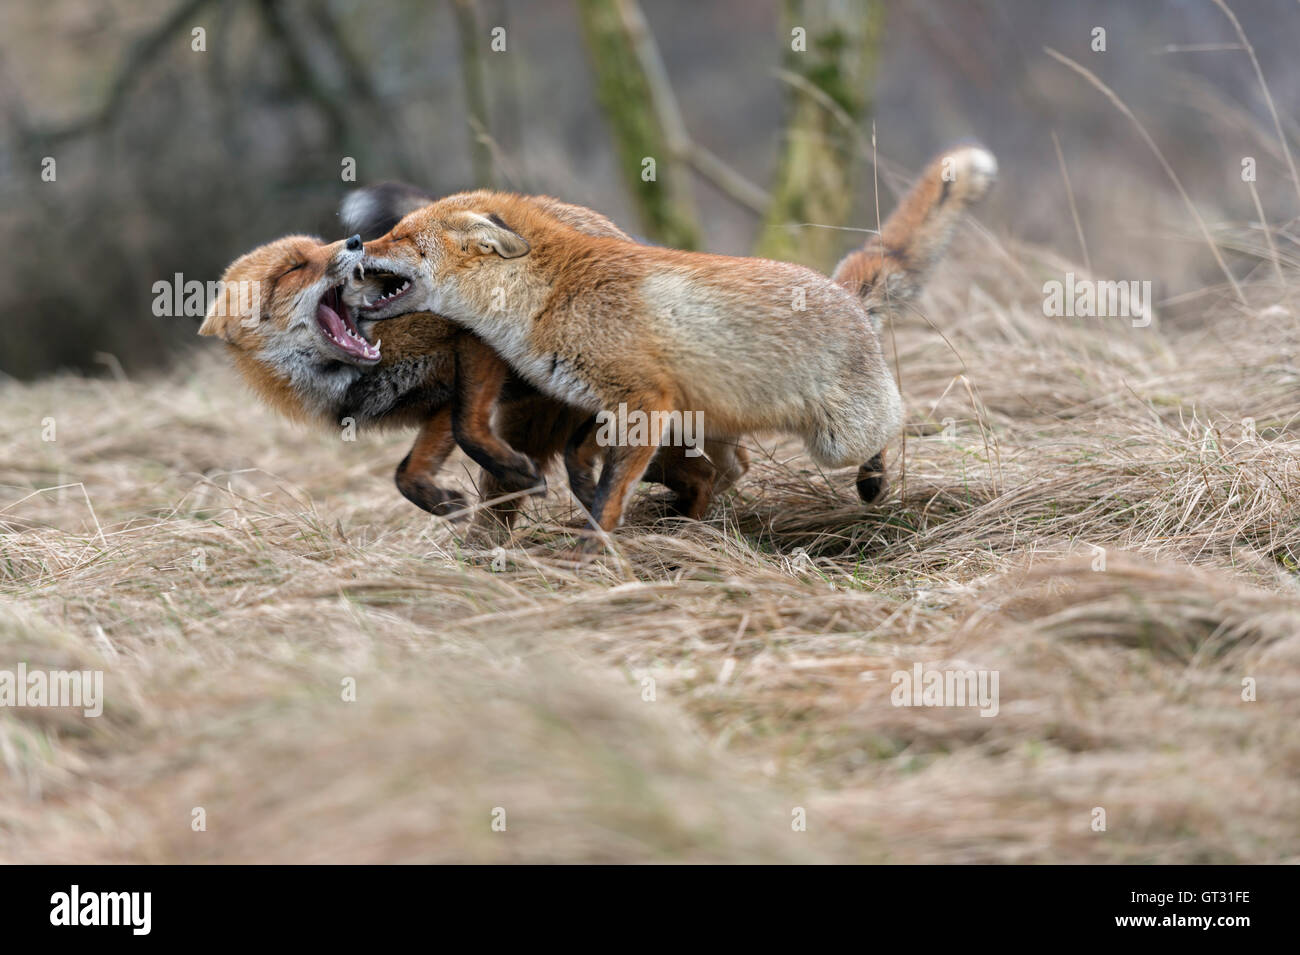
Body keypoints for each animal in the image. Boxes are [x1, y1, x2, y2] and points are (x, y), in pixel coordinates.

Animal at [338, 146, 993, 540]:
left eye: (402, 237)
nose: (352, 244)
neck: (549, 299)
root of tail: (842, 293)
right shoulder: (600, 400)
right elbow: (580, 459)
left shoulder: (642, 398)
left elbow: (604, 486)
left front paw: (598, 545)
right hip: (718, 423)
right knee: (731, 467)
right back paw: (693, 523)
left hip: (838, 438)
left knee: (896, 421)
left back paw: (875, 480)